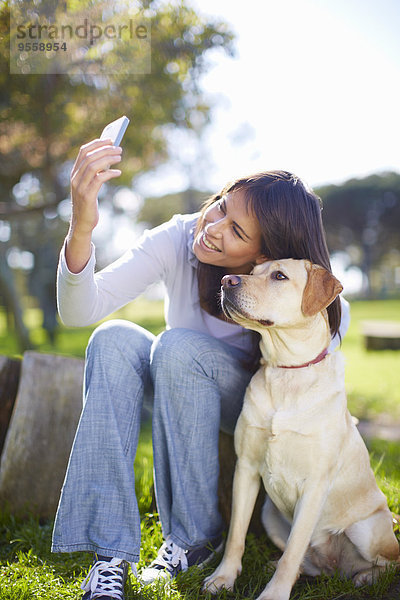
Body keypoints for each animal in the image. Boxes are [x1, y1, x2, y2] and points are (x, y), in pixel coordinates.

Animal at [205, 258, 398, 600]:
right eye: (251, 272)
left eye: (279, 276)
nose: (227, 280)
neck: (287, 371)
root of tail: (334, 569)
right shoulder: (246, 468)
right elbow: (236, 535)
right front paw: (224, 577)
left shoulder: (315, 485)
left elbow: (294, 549)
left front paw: (274, 593)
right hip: (269, 514)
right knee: (306, 561)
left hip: (368, 528)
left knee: (387, 563)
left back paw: (364, 578)